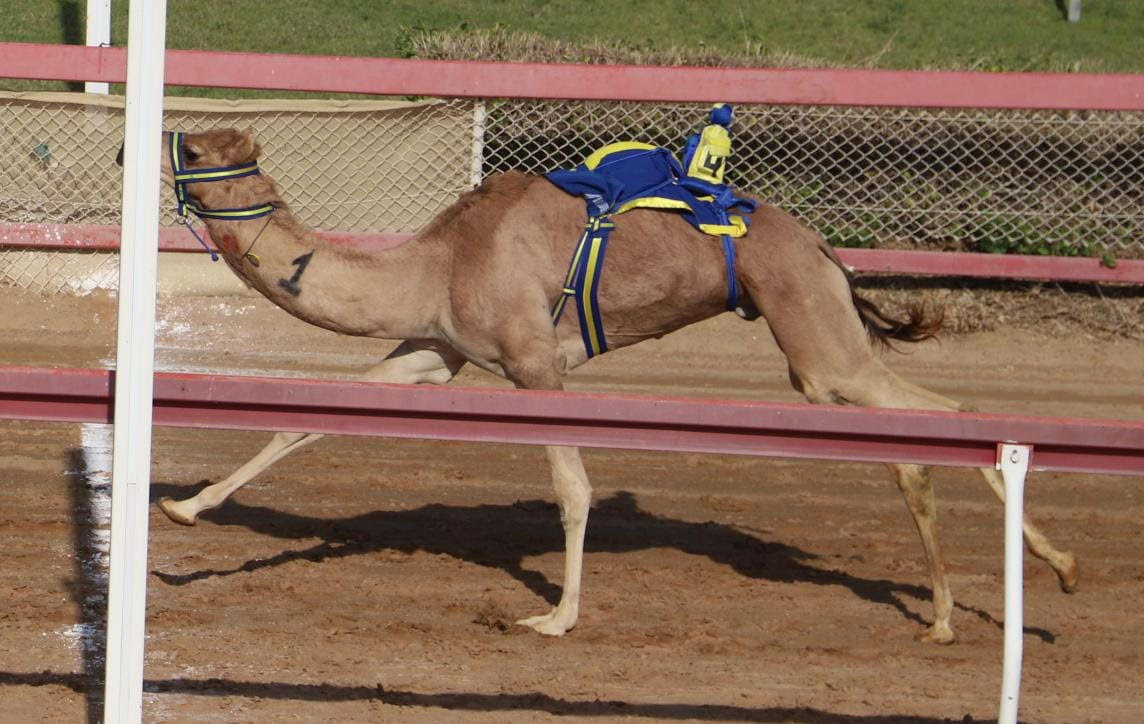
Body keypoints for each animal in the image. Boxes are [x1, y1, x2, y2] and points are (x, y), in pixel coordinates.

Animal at [138, 126, 1075, 640]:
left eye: (199, 148)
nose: (156, 134)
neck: (437, 263)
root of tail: (823, 247)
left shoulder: (533, 363)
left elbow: (574, 488)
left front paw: (555, 617)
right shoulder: (437, 348)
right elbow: (306, 417)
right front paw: (184, 511)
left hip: (811, 335)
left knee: (938, 415)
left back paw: (1027, 581)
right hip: (816, 339)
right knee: (931, 424)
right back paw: (971, 606)